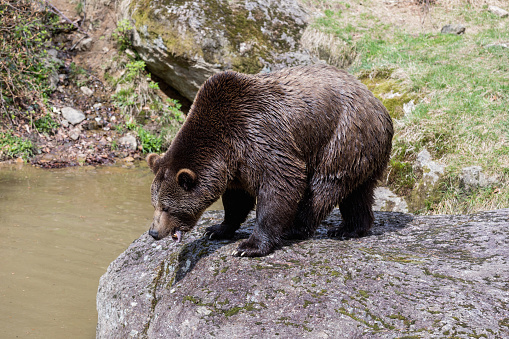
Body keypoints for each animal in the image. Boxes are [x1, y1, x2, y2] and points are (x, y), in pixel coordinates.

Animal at [147, 62, 392, 256]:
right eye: (154, 204)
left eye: (167, 207)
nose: (153, 232)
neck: (225, 146)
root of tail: (379, 105)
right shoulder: (236, 166)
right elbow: (236, 198)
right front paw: (217, 229)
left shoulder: (259, 134)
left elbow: (281, 182)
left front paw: (249, 246)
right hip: (362, 152)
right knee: (357, 192)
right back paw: (349, 228)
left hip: (341, 137)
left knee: (325, 187)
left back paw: (297, 227)